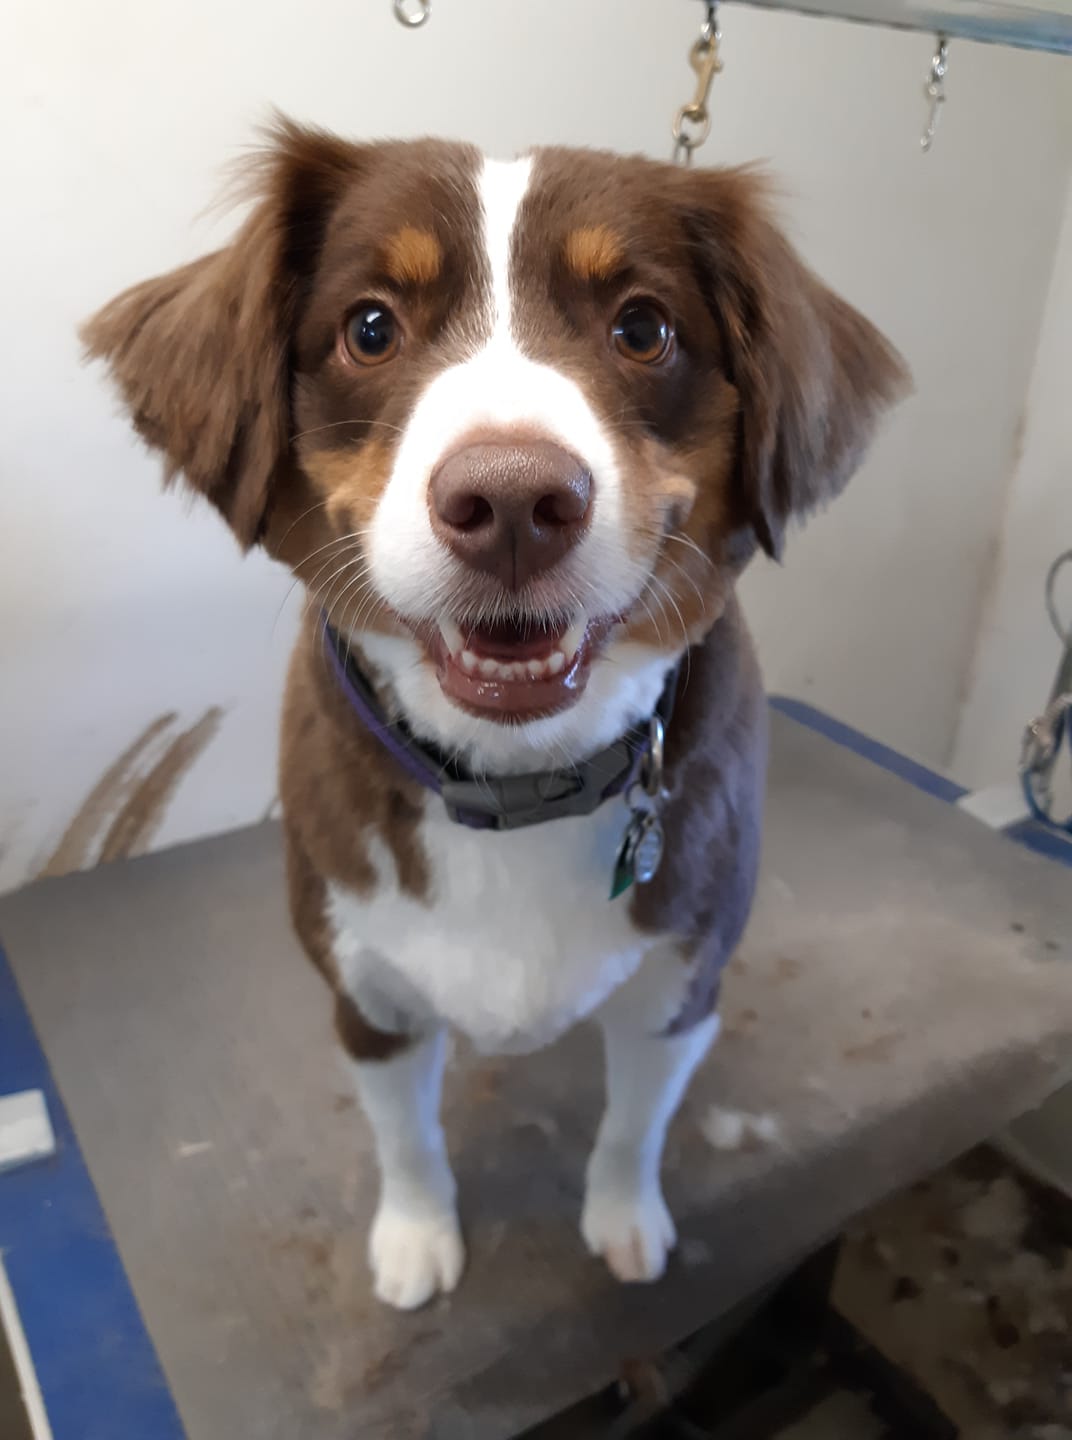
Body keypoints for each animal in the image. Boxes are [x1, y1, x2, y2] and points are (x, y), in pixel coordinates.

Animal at [84, 119, 907, 1311]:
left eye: (643, 327)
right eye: (370, 326)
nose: (514, 500)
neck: (516, 782)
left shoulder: (680, 989)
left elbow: (632, 1126)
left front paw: (624, 1220)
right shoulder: (366, 997)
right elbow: (407, 1138)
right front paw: (418, 1237)